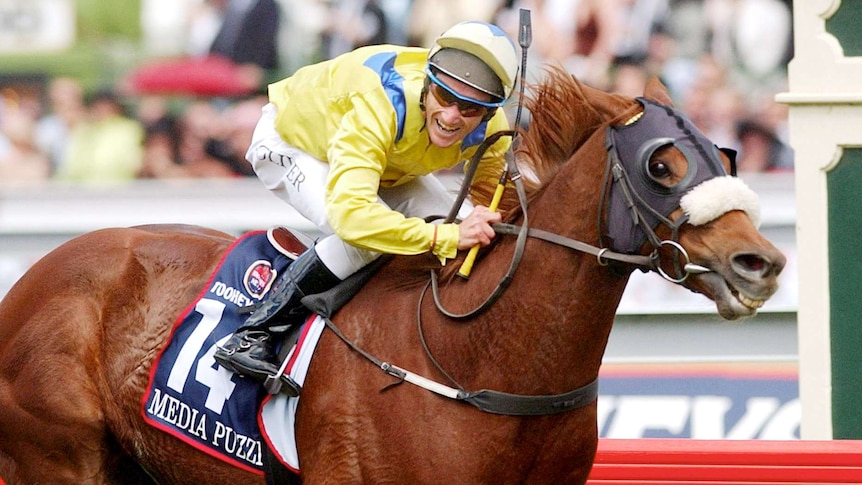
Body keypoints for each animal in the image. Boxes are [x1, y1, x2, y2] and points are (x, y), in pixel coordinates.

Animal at [0, 69, 788, 484]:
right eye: (662, 165)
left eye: (723, 154)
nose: (762, 263)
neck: (479, 358)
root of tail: (33, 277)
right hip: (60, 458)